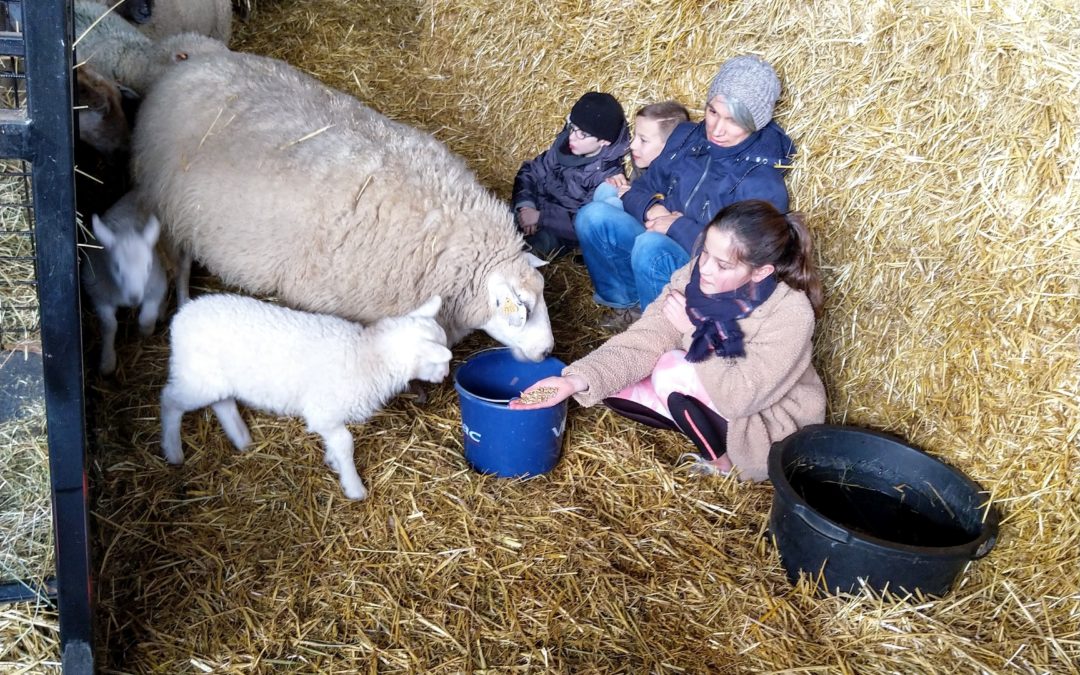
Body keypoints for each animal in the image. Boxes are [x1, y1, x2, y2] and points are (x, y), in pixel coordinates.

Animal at [79, 192, 166, 375]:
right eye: (117, 267)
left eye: (148, 266)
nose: (134, 299)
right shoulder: (99, 294)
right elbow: (109, 326)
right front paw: (107, 362)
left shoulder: (156, 284)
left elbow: (147, 317)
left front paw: (146, 331)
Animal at [157, 291, 453, 496]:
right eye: (437, 361)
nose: (446, 375)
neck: (372, 355)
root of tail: (182, 315)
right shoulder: (324, 412)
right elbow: (345, 442)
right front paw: (354, 487)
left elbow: (336, 443)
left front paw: (334, 462)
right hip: (196, 377)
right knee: (170, 400)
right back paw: (173, 451)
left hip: (215, 378)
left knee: (223, 403)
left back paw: (242, 439)